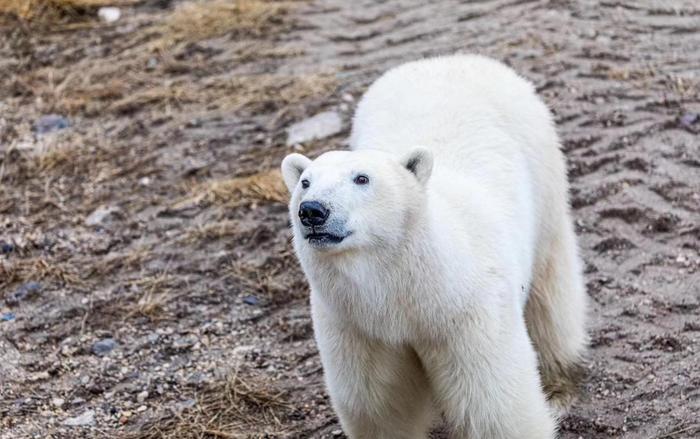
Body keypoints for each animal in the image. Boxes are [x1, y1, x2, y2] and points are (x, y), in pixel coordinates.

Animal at [278, 55, 584, 439]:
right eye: (305, 182)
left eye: (362, 178)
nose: (313, 211)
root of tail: (449, 58)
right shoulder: (357, 325)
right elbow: (381, 407)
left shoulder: (466, 314)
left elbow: (493, 404)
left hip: (542, 178)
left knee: (550, 291)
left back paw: (559, 379)